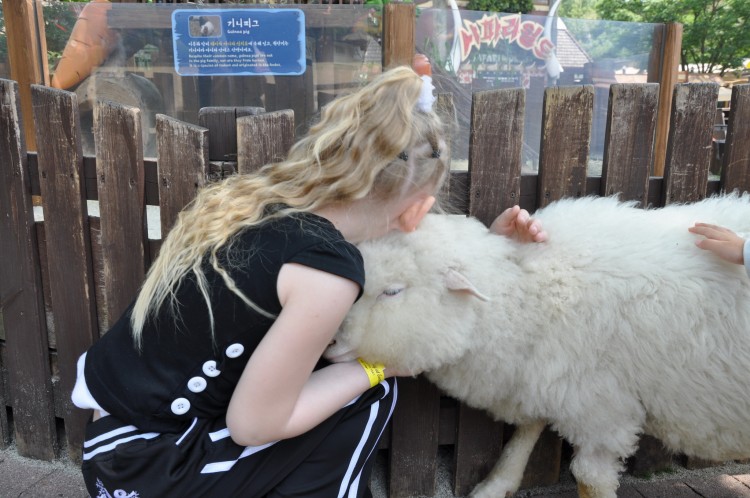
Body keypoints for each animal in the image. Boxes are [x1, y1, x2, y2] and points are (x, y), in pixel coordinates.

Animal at [326, 194, 750, 498]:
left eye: (393, 292)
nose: (330, 339)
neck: (530, 295)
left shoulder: (601, 406)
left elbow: (589, 478)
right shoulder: (549, 372)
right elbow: (528, 426)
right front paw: (496, 484)